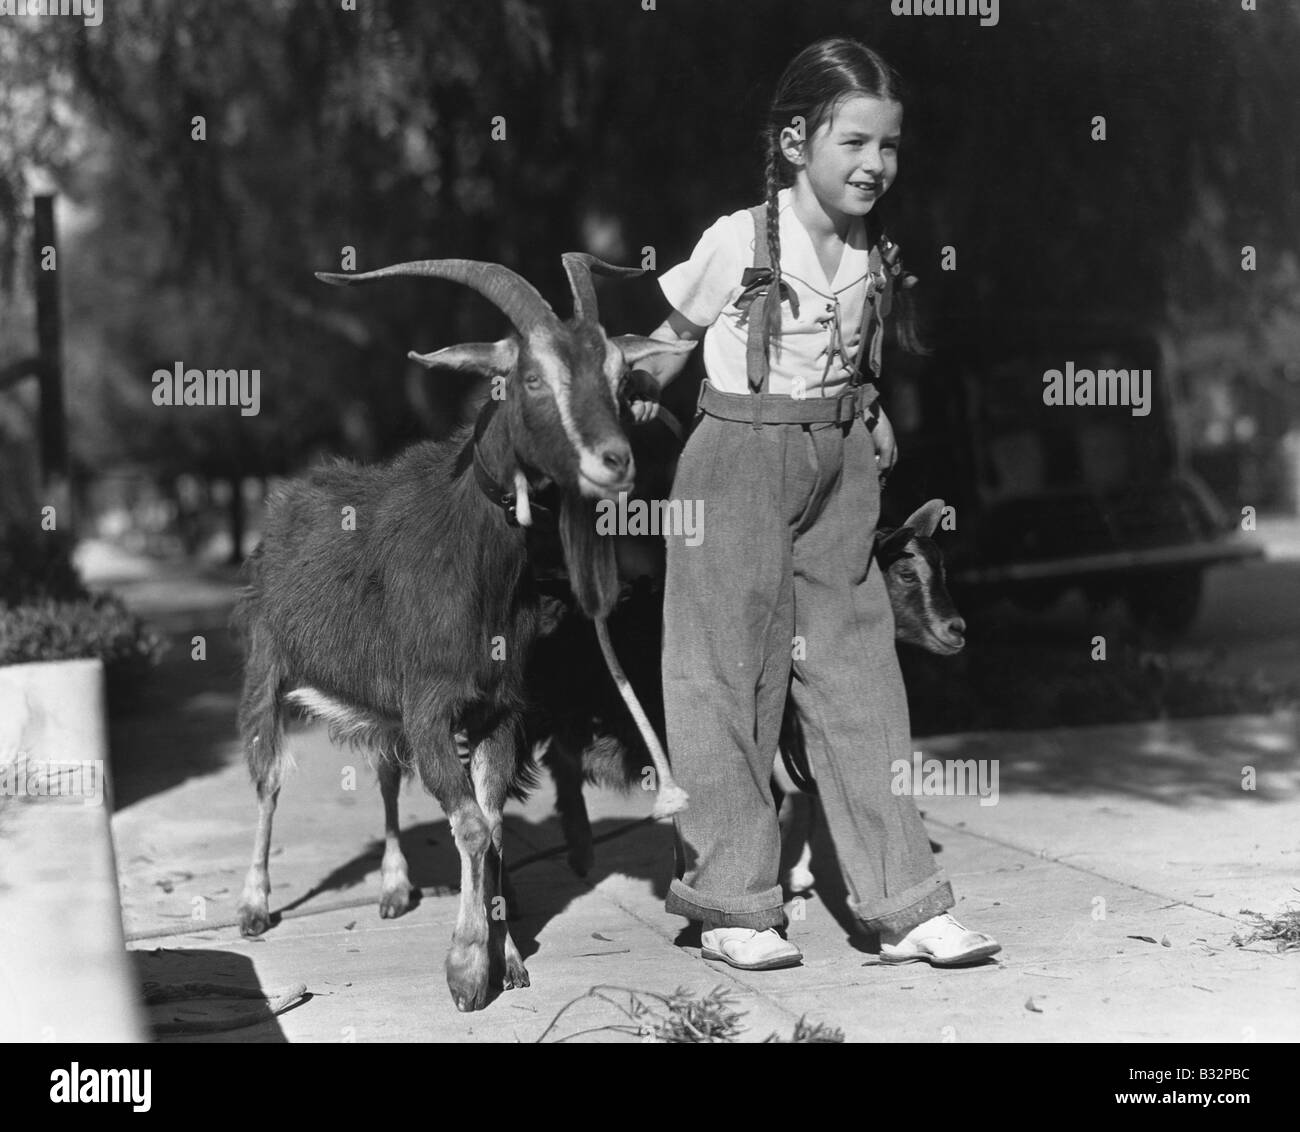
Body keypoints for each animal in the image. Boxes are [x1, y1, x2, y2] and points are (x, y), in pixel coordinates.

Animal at [239, 254, 696, 1008]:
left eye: (620, 378)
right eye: (532, 378)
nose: (615, 461)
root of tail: (284, 499)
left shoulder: (497, 712)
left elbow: (494, 825)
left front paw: (503, 956)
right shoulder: (430, 706)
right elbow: (473, 829)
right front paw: (465, 969)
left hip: (383, 705)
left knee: (384, 775)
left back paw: (395, 888)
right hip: (265, 667)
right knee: (269, 779)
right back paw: (253, 906)